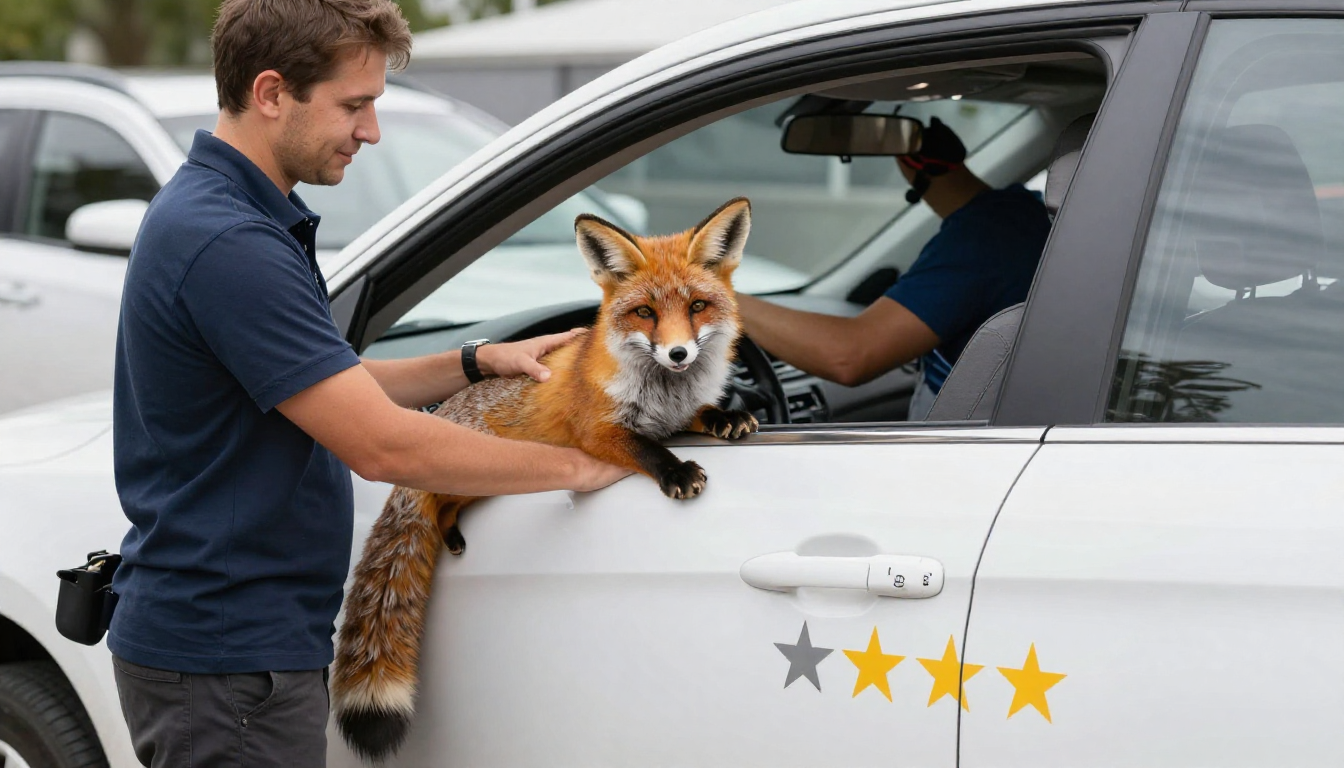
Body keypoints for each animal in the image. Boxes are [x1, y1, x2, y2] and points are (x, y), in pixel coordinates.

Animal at [331, 197, 760, 762]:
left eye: (697, 307)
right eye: (645, 312)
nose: (678, 354)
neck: (663, 391)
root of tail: (441, 412)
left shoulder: (676, 414)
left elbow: (701, 413)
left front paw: (726, 417)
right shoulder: (599, 430)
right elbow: (645, 449)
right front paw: (676, 470)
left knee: (444, 506)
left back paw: (452, 534)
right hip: (474, 473)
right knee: (437, 501)